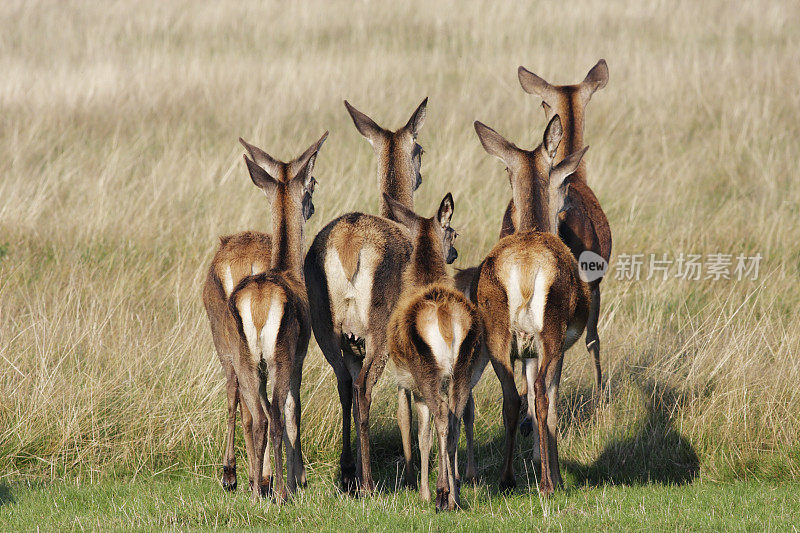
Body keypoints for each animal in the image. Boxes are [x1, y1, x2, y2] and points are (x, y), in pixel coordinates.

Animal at [203, 134, 324, 494]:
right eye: (312, 182)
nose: (312, 205)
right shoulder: (298, 357)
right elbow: (293, 411)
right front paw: (298, 479)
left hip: (240, 354)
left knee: (251, 411)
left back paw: (250, 484)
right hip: (275, 357)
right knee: (274, 414)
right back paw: (279, 490)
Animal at [304, 98, 428, 490]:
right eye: (420, 149)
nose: (420, 174)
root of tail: (346, 244)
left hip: (326, 328)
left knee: (345, 384)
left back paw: (348, 474)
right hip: (378, 328)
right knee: (363, 388)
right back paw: (369, 482)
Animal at [384, 192, 484, 512]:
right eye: (454, 233)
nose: (454, 253)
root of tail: (444, 317)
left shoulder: (412, 386)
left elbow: (422, 437)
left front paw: (424, 492)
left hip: (425, 368)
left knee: (442, 417)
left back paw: (441, 495)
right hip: (463, 367)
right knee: (455, 418)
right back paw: (454, 495)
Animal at [472, 114, 592, 492]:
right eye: (562, 183)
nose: (566, 206)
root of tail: (524, 273)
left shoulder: (522, 350)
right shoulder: (561, 346)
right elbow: (552, 410)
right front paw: (557, 475)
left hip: (497, 335)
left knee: (511, 399)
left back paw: (507, 478)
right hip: (549, 332)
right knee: (540, 396)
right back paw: (548, 484)